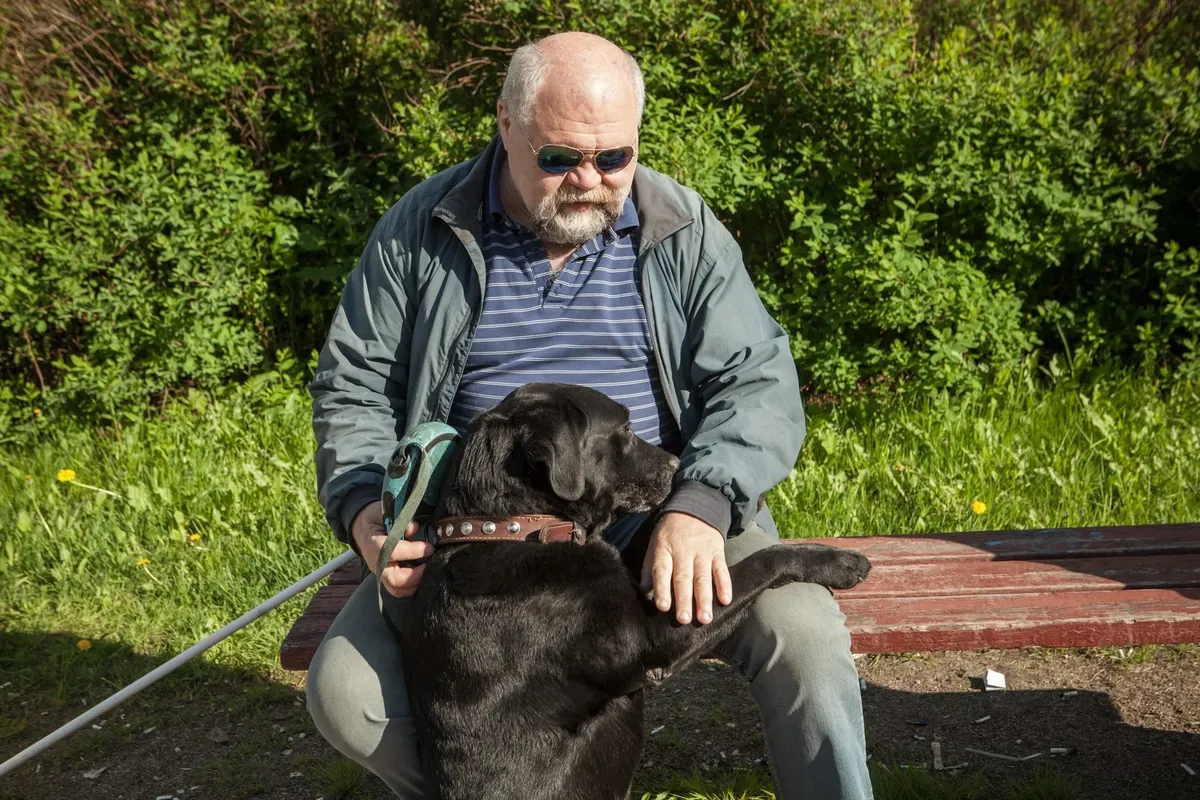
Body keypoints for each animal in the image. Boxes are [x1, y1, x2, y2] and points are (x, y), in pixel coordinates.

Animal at [403, 383, 873, 796]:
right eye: (627, 429)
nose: (677, 464)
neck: (513, 528)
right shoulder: (658, 635)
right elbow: (763, 562)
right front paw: (837, 561)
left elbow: (662, 526)